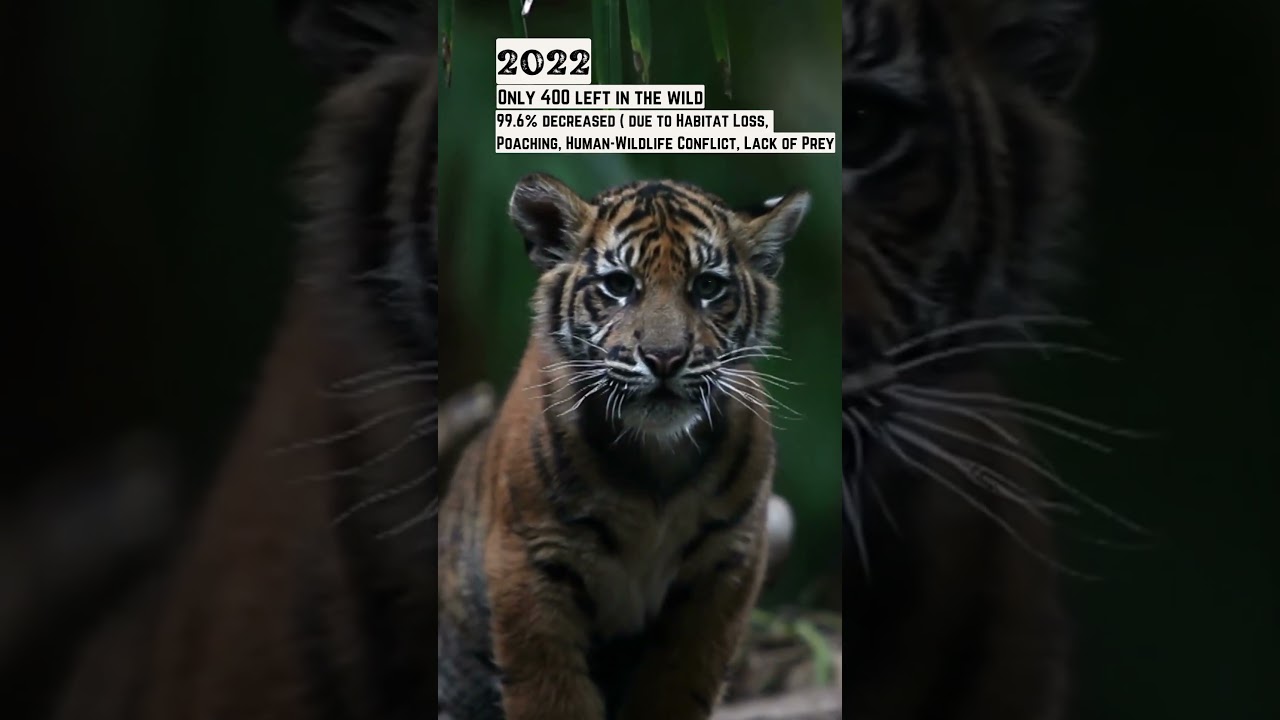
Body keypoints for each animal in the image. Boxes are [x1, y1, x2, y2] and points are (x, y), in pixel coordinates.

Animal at [437, 174, 811, 720]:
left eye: (707, 286)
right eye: (619, 284)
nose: (665, 357)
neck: (656, 456)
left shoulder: (727, 562)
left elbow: (678, 683)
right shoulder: (532, 558)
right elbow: (551, 694)